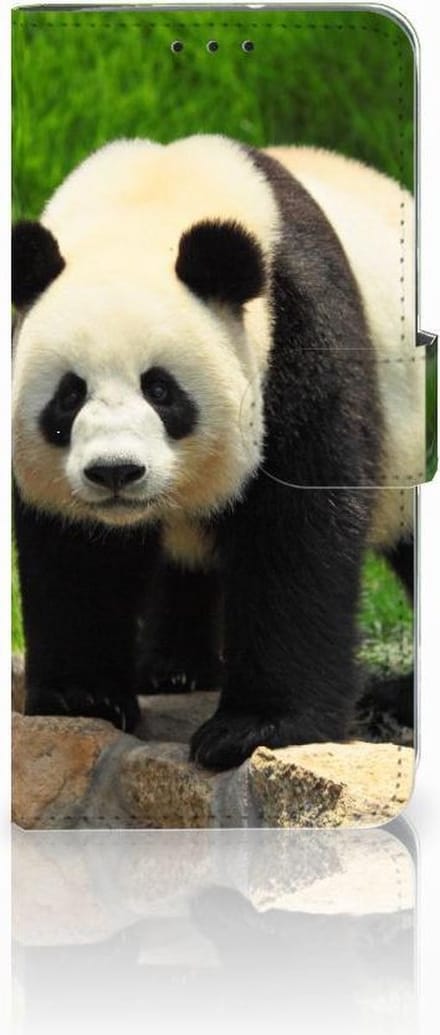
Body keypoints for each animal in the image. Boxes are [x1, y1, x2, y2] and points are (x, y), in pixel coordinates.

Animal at [12, 134, 423, 771]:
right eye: (69, 395)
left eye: (161, 390)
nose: (115, 472)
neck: (146, 206)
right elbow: (74, 551)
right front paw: (83, 698)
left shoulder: (297, 336)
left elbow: (297, 530)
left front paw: (254, 728)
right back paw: (172, 669)